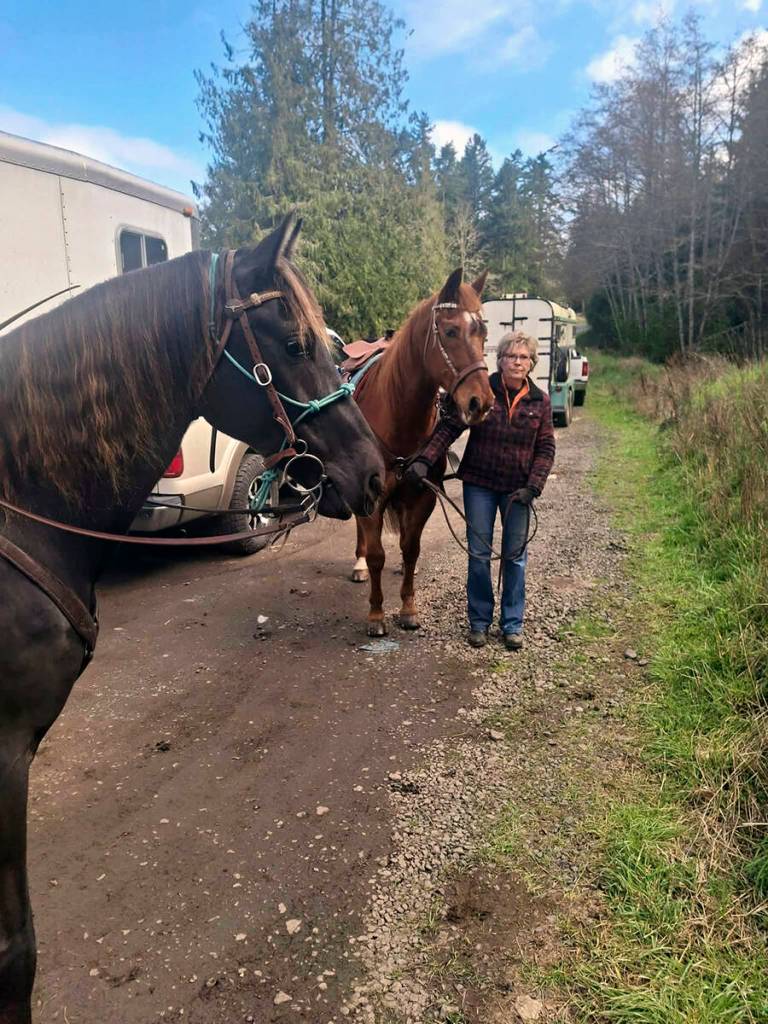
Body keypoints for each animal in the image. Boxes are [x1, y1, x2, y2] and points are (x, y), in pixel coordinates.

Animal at [350, 268, 494, 636]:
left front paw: (408, 608)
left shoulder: (423, 495)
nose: (482, 403)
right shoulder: (371, 498)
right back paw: (358, 564)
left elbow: (411, 549)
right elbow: (377, 555)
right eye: (450, 331)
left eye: (483, 332)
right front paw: (376, 614)